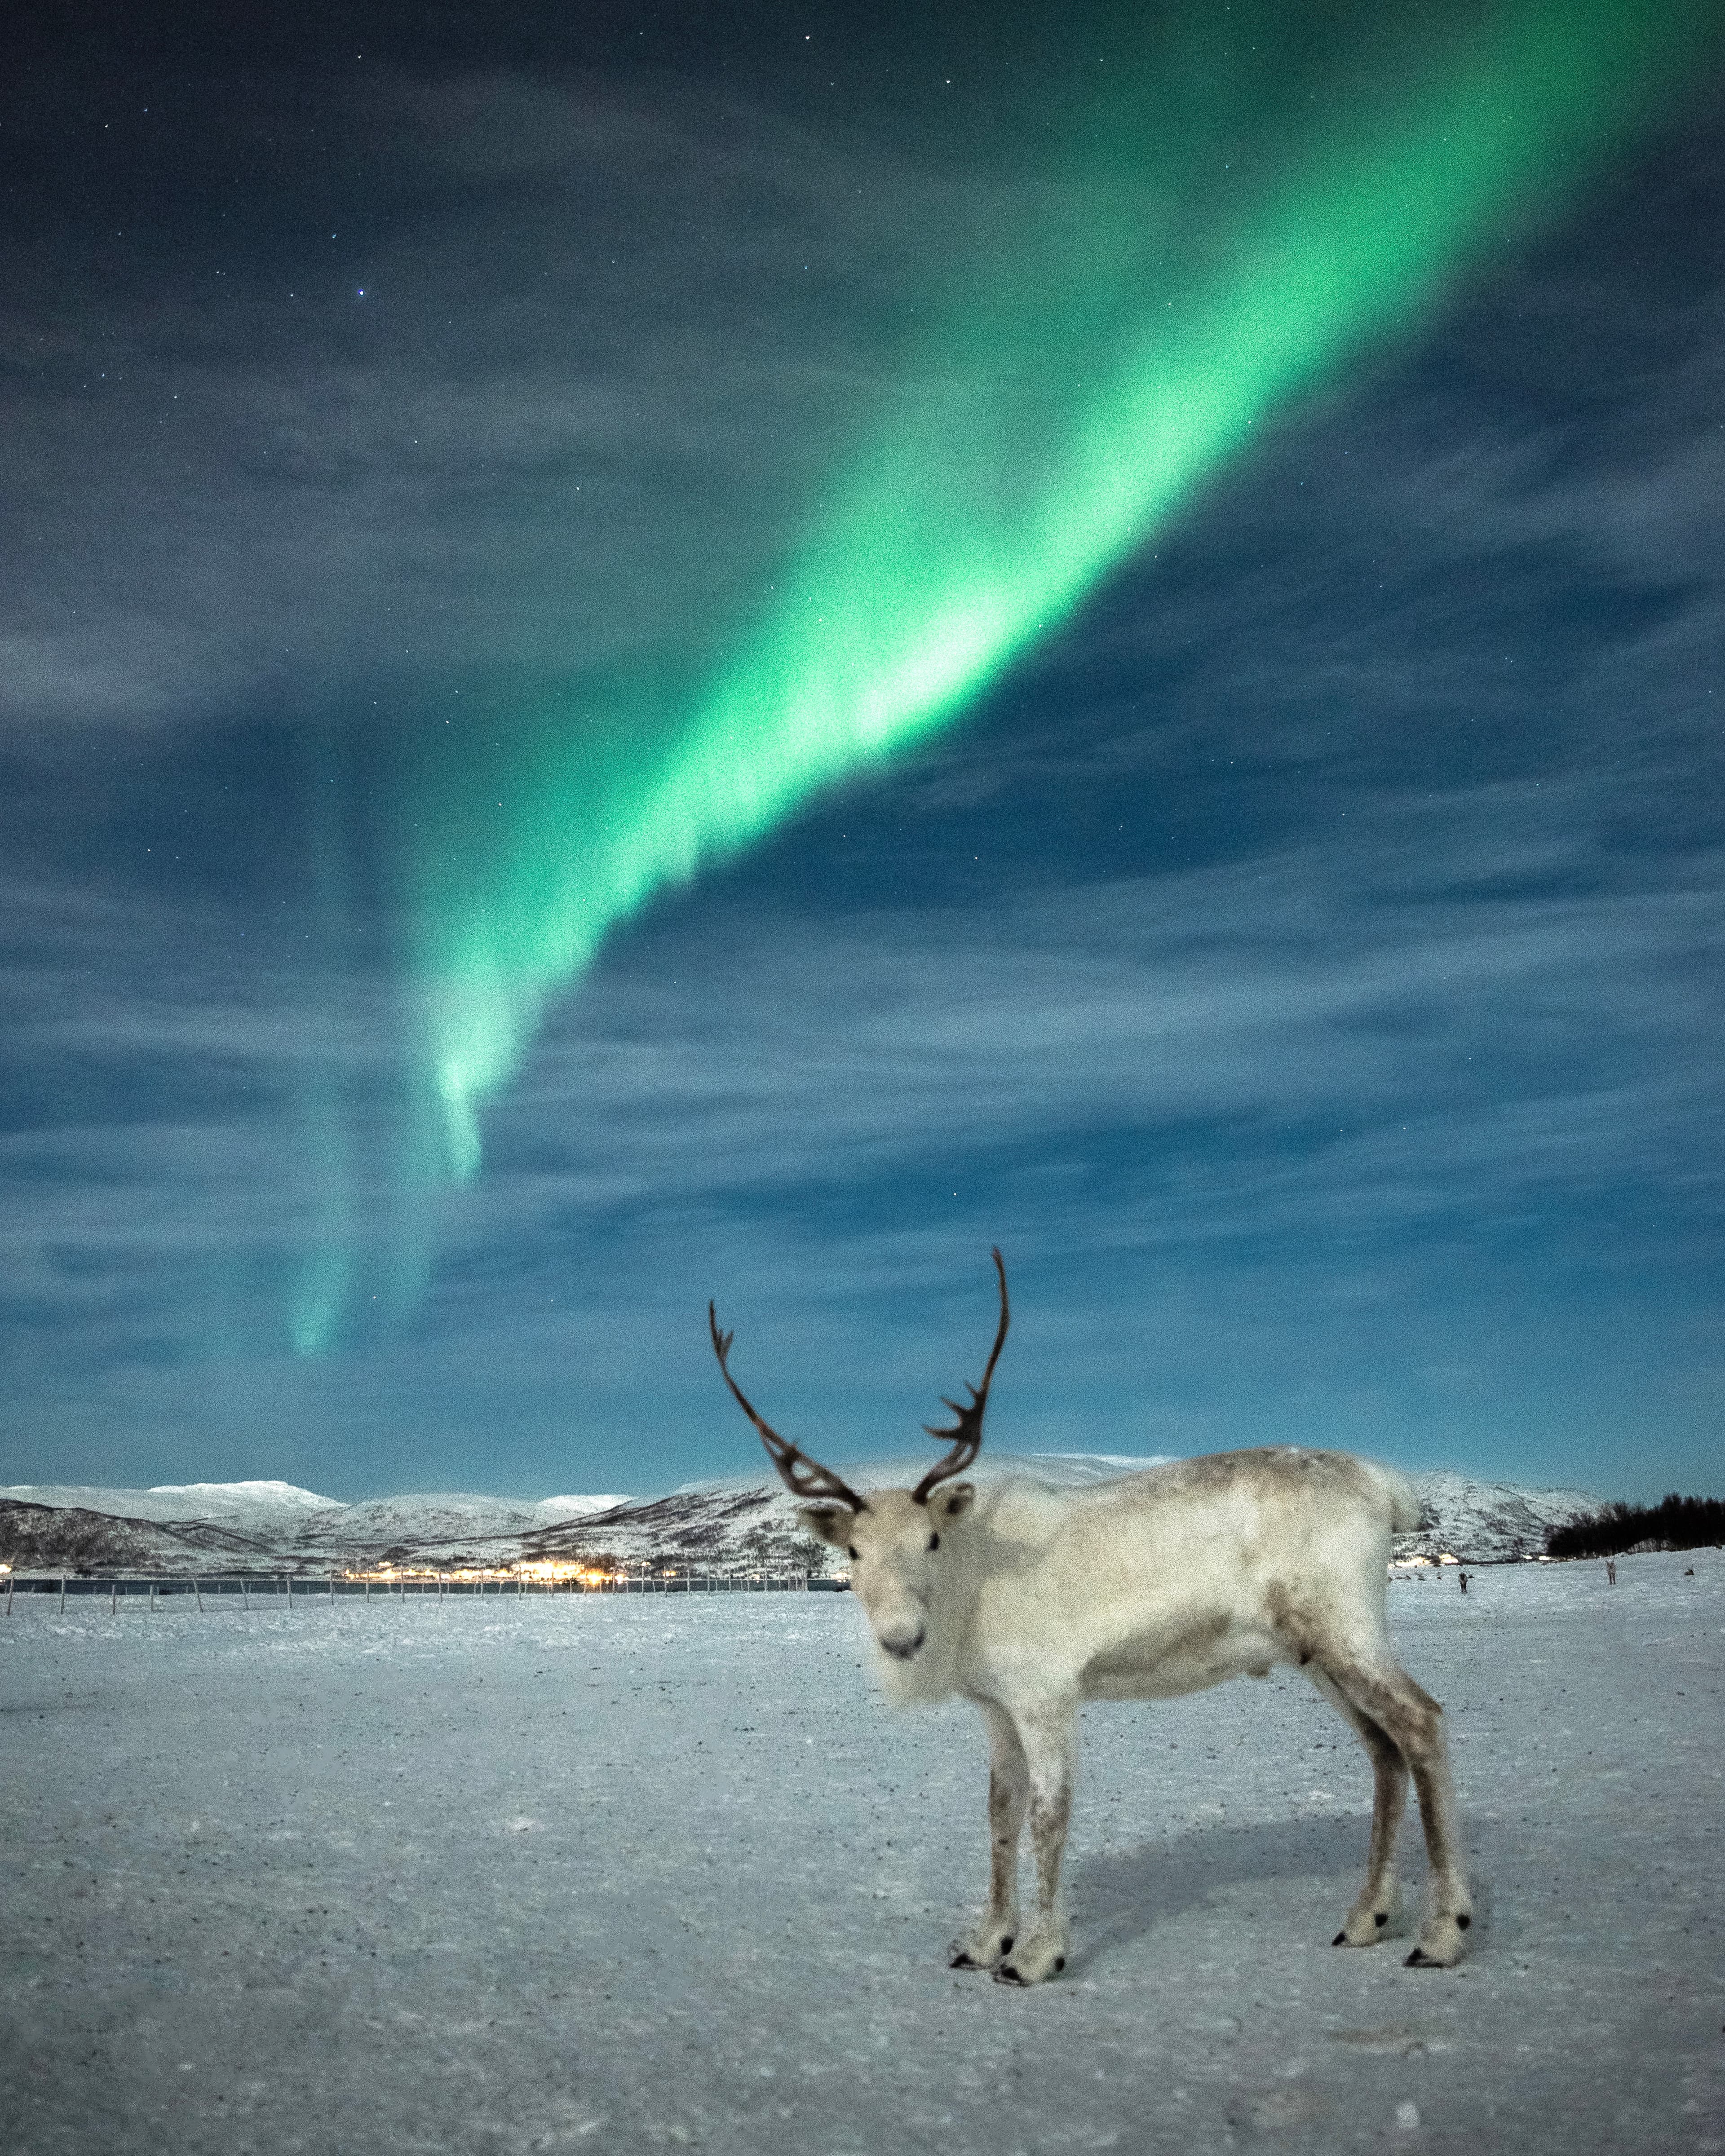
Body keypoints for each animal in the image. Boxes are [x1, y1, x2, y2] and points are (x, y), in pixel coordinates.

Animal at [709, 1249, 1472, 1986]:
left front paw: (1036, 1955)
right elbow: (999, 1814)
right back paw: (1368, 1918)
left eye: (930, 1540)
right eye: (854, 1550)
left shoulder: (1047, 1695)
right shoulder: (996, 1704)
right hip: (1313, 1651)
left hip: (1349, 1628)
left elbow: (1049, 1817)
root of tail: (1386, 1486)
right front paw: (985, 1941)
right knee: (1382, 1750)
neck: (970, 1584)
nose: (902, 1637)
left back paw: (1443, 1932)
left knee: (1422, 1720)